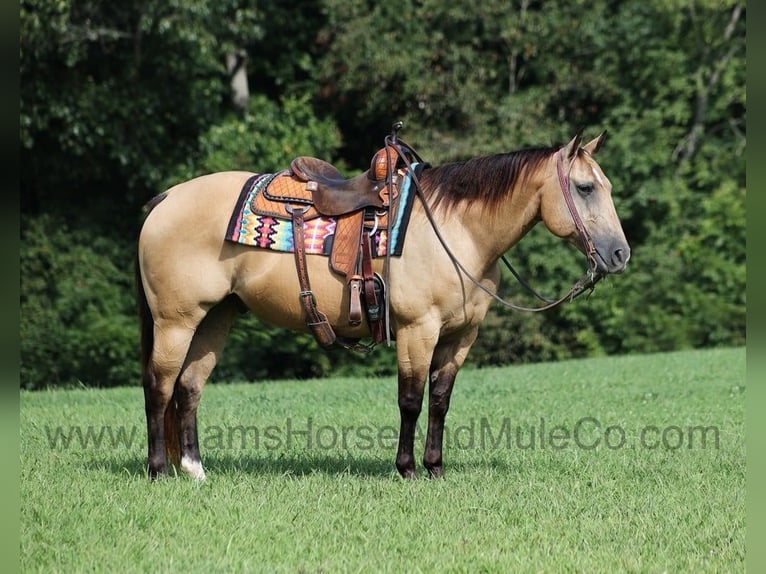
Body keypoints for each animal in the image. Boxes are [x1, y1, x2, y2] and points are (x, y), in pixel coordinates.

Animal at [137, 129, 630, 480]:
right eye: (585, 188)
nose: (620, 254)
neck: (458, 231)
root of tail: (166, 198)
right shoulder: (418, 329)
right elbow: (410, 399)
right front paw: (407, 469)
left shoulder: (460, 337)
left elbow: (440, 401)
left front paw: (435, 468)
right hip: (176, 320)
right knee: (159, 386)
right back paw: (158, 470)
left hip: (215, 318)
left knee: (189, 388)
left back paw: (195, 470)